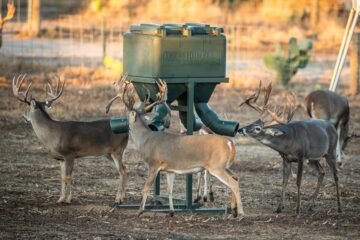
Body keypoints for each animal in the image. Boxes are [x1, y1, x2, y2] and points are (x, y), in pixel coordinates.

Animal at [11, 74, 129, 203]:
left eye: (27, 108)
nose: (23, 116)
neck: (51, 134)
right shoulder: (61, 159)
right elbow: (62, 177)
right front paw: (60, 198)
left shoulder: (69, 154)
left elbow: (69, 177)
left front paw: (68, 199)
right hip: (108, 153)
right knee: (124, 169)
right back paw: (122, 197)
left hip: (117, 150)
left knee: (122, 171)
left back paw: (118, 199)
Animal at [105, 74, 243, 218]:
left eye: (126, 117)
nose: (117, 123)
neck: (145, 139)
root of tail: (229, 143)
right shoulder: (169, 169)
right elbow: (169, 189)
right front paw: (171, 211)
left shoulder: (154, 163)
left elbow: (146, 187)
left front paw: (140, 210)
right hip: (224, 165)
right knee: (236, 177)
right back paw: (233, 209)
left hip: (216, 166)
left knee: (233, 183)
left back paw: (241, 213)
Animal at [238, 81, 342, 215]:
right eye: (252, 122)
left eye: (258, 128)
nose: (241, 129)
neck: (289, 142)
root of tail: (332, 126)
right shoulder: (286, 158)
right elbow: (284, 180)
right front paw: (279, 208)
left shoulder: (301, 156)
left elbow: (298, 180)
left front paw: (297, 209)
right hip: (313, 159)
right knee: (322, 173)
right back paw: (311, 205)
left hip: (330, 152)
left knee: (335, 175)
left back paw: (339, 207)